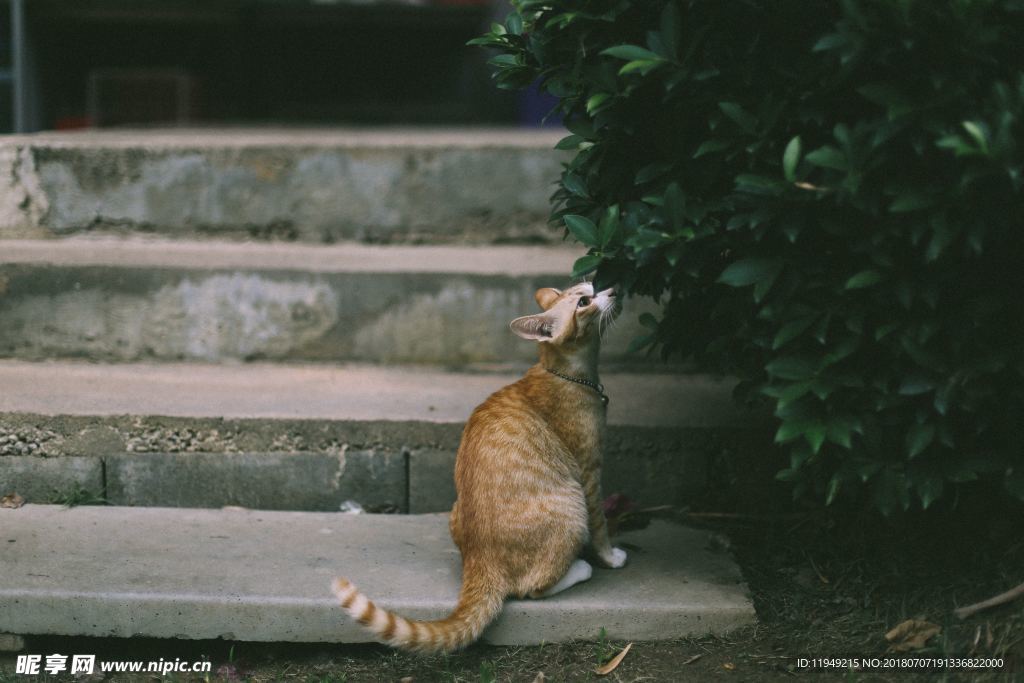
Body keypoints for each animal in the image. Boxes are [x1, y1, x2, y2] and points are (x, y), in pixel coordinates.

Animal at [335, 282, 622, 651]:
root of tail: (480, 561)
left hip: (455, 509)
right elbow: (601, 526)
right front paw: (610, 557)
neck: (568, 373)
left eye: (592, 286)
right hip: (571, 507)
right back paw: (580, 568)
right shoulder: (589, 472)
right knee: (532, 589)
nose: (613, 289)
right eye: (585, 301)